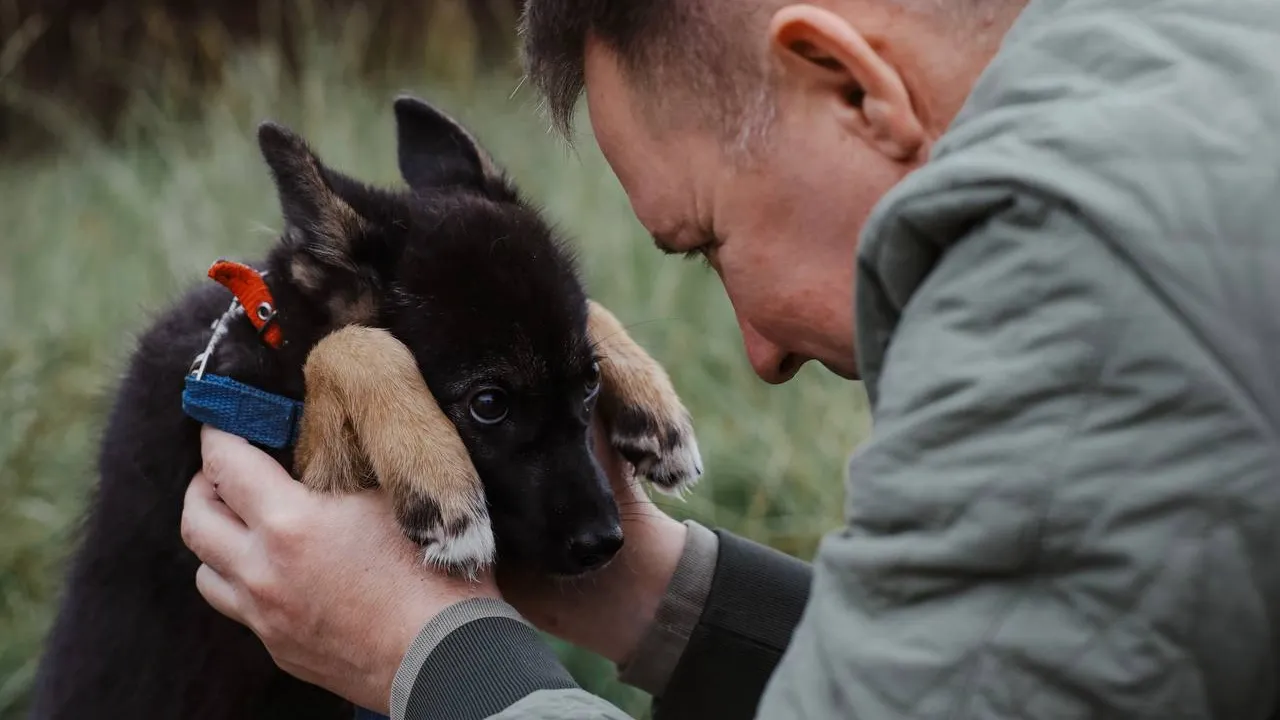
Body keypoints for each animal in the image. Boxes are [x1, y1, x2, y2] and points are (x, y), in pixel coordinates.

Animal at [30, 95, 706, 717]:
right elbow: (351, 343)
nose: (606, 544)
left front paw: (653, 404)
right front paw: (438, 475)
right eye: (488, 405)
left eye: (589, 381)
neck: (273, 353)